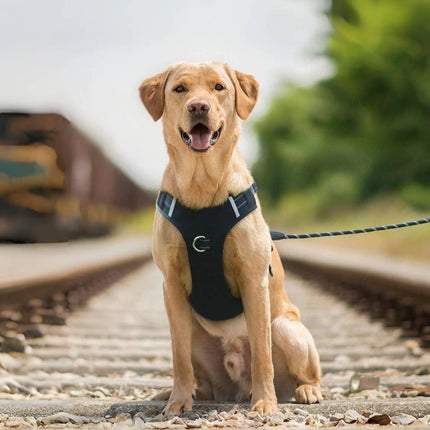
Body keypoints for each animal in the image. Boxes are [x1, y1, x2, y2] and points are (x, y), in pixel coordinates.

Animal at [139, 62, 320, 414]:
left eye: (219, 87)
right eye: (179, 89)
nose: (199, 106)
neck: (202, 183)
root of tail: (236, 388)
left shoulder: (253, 280)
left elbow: (262, 354)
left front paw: (265, 403)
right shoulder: (171, 285)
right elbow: (178, 358)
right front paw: (178, 402)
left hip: (288, 329)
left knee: (304, 371)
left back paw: (305, 390)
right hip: (195, 333)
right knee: (198, 376)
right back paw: (172, 394)